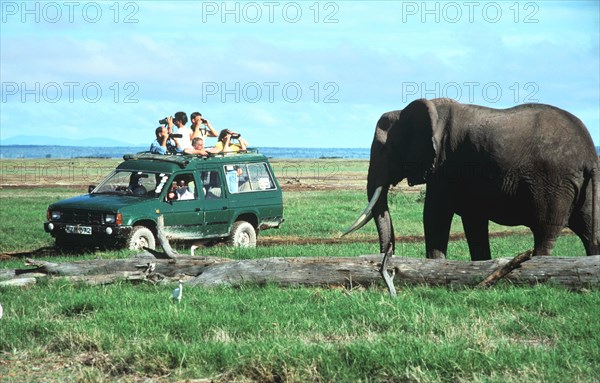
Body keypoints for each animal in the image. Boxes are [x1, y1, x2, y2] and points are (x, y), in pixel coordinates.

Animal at [344, 97, 596, 262]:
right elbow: (473, 221)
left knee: (545, 232)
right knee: (592, 232)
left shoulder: (445, 164)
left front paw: (436, 264)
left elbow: (435, 214)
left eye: (384, 150)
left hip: (553, 184)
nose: (388, 257)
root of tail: (589, 153)